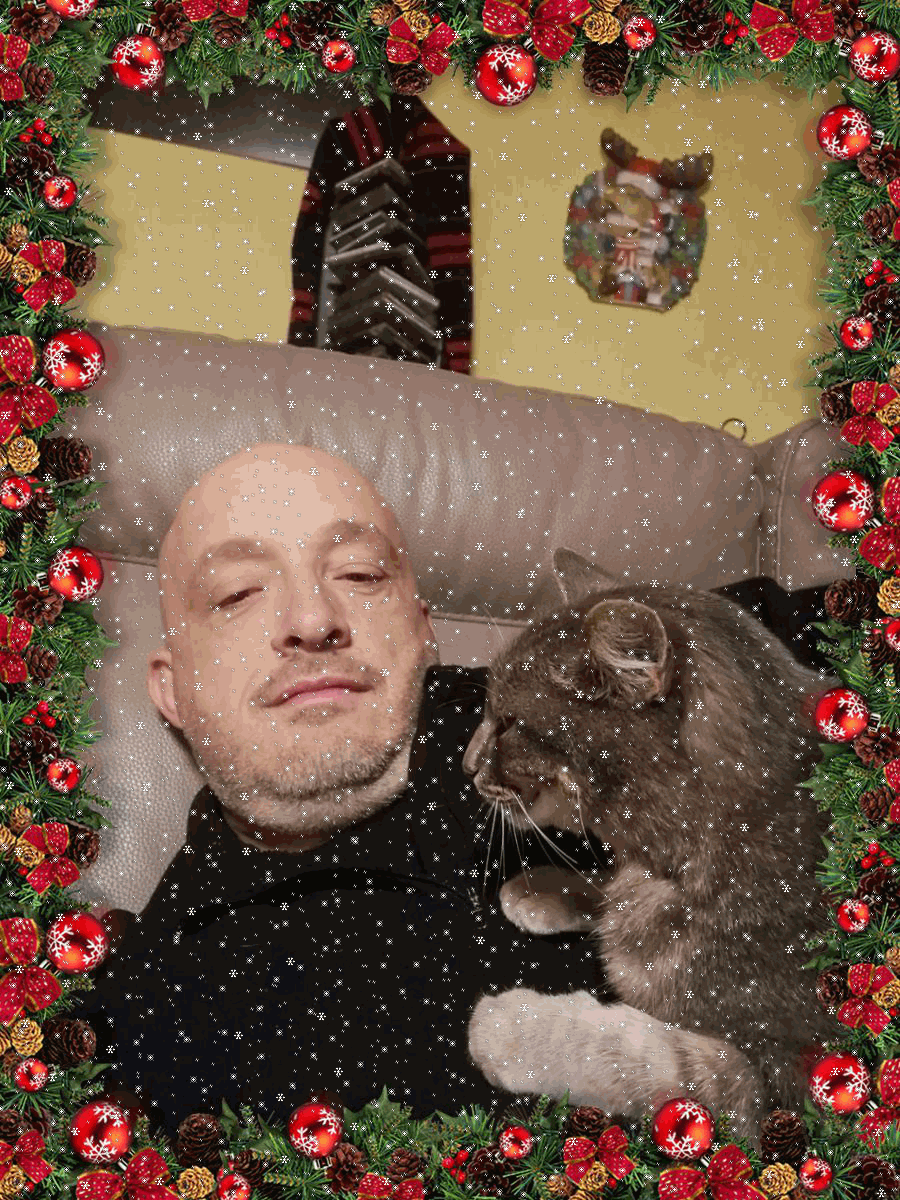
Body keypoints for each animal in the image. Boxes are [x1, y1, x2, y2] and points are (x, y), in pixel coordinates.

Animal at [464, 550, 835, 1142]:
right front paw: (547, 890)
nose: (466, 765)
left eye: (510, 723)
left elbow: (633, 1053)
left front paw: (513, 1028)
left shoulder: (778, 1080)